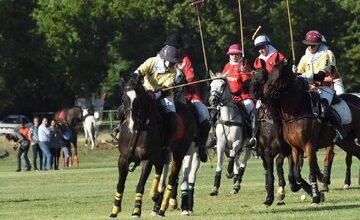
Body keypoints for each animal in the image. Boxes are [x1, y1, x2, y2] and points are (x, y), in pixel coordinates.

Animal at [108, 76, 195, 217]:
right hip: (160, 154)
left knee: (172, 178)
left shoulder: (147, 159)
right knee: (159, 171)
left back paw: (163, 207)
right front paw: (114, 210)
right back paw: (155, 197)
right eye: (123, 98)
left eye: (138, 99)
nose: (131, 124)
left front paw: (136, 211)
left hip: (179, 153)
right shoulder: (123, 159)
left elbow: (140, 185)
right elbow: (120, 184)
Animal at [252, 58, 360, 205]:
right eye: (252, 76)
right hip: (346, 142)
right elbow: (292, 173)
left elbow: (307, 172)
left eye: (279, 76)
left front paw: (315, 196)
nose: (262, 95)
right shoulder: (291, 149)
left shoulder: (308, 146)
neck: (295, 112)